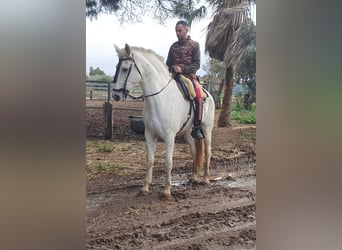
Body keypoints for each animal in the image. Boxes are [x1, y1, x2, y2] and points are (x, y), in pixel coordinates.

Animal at [113, 44, 214, 198]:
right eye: (116, 67)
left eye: (124, 69)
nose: (116, 95)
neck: (160, 98)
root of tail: (208, 94)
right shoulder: (149, 135)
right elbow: (150, 160)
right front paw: (145, 187)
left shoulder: (169, 137)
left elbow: (168, 162)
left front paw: (167, 190)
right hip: (187, 132)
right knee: (194, 151)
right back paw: (194, 177)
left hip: (207, 129)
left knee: (208, 151)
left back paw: (206, 178)